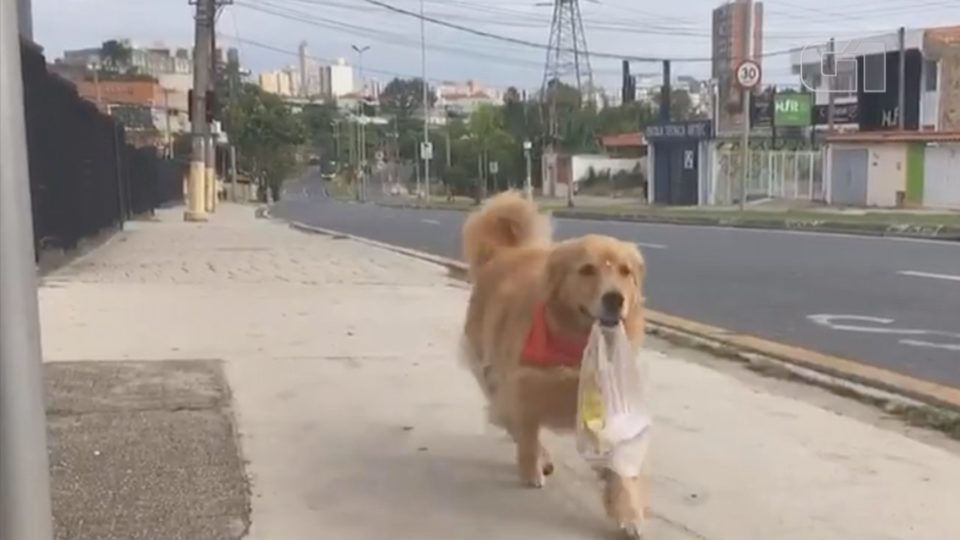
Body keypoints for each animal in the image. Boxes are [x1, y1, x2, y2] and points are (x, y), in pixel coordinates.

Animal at [462, 190, 648, 536]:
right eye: (587, 269)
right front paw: (530, 467)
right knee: (504, 412)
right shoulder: (521, 385)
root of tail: (505, 252)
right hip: (489, 365)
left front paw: (628, 511)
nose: (615, 298)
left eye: (625, 271)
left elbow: (618, 468)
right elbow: (525, 430)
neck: (577, 344)